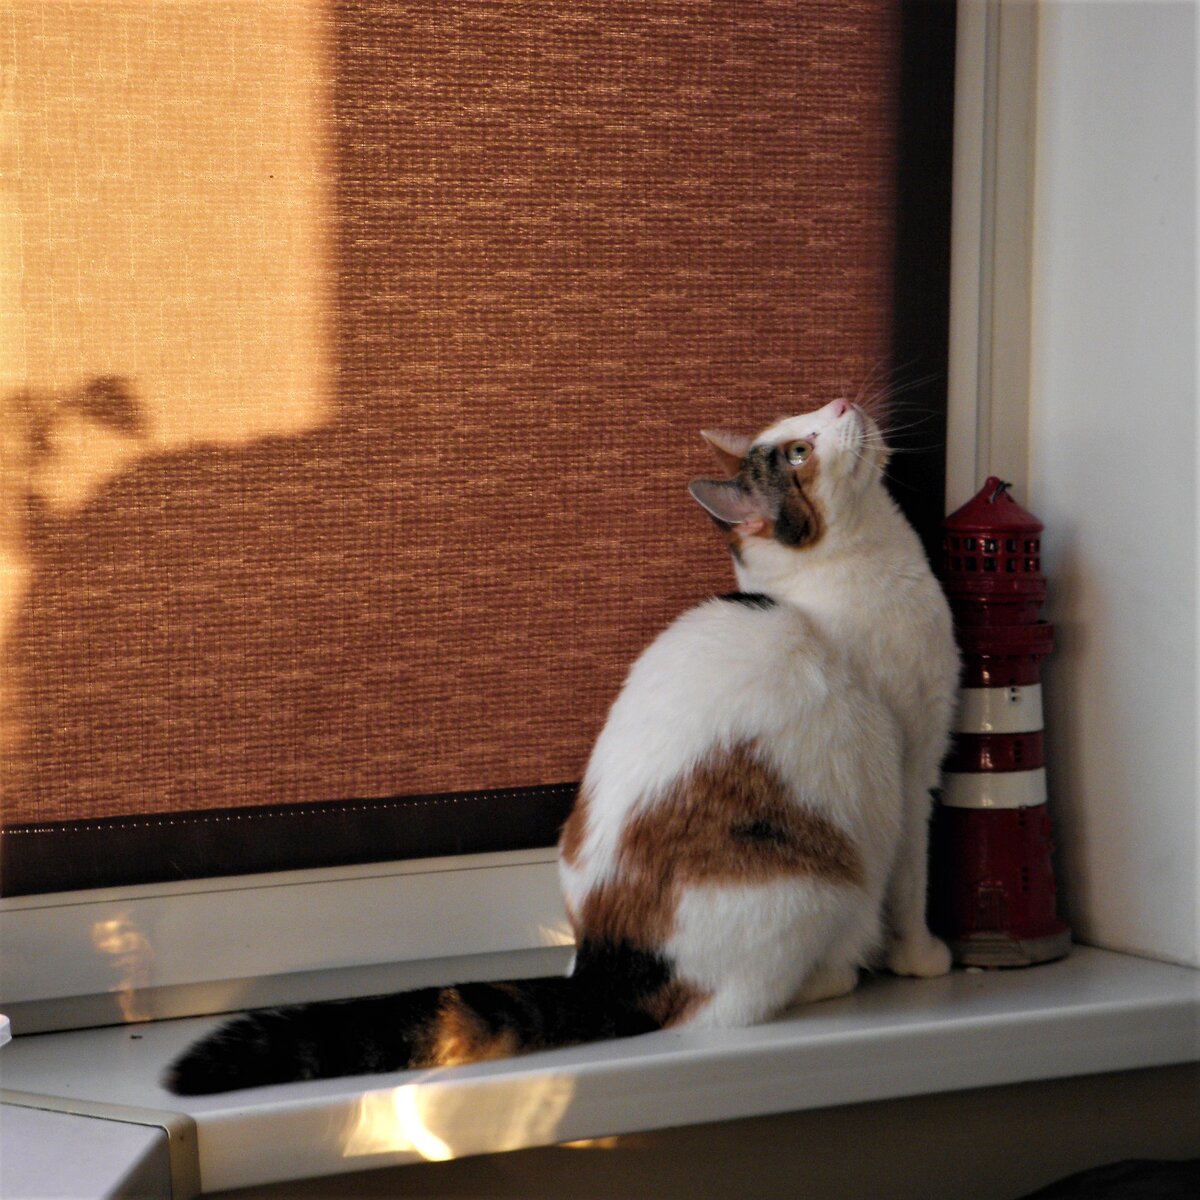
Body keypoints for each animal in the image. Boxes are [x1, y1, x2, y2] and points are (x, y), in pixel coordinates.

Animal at [164, 396, 958, 1095]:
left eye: (809, 420)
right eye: (799, 450)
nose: (842, 402)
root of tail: (608, 965)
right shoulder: (915, 762)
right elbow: (914, 880)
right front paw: (922, 958)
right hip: (817, 885)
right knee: (738, 1000)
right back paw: (835, 973)